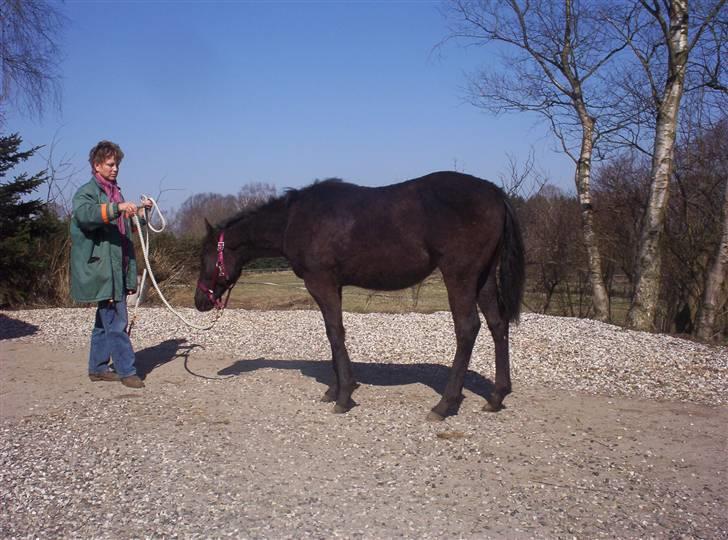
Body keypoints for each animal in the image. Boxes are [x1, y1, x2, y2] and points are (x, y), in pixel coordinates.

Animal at [193, 171, 524, 420]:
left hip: (460, 276)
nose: (200, 301)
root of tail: (494, 192)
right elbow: (333, 333)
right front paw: (336, 389)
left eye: (203, 257)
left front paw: (343, 396)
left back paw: (445, 405)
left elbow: (334, 332)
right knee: (497, 325)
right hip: (484, 278)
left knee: (467, 328)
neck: (294, 220)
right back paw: (496, 396)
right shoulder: (334, 285)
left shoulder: (321, 282)